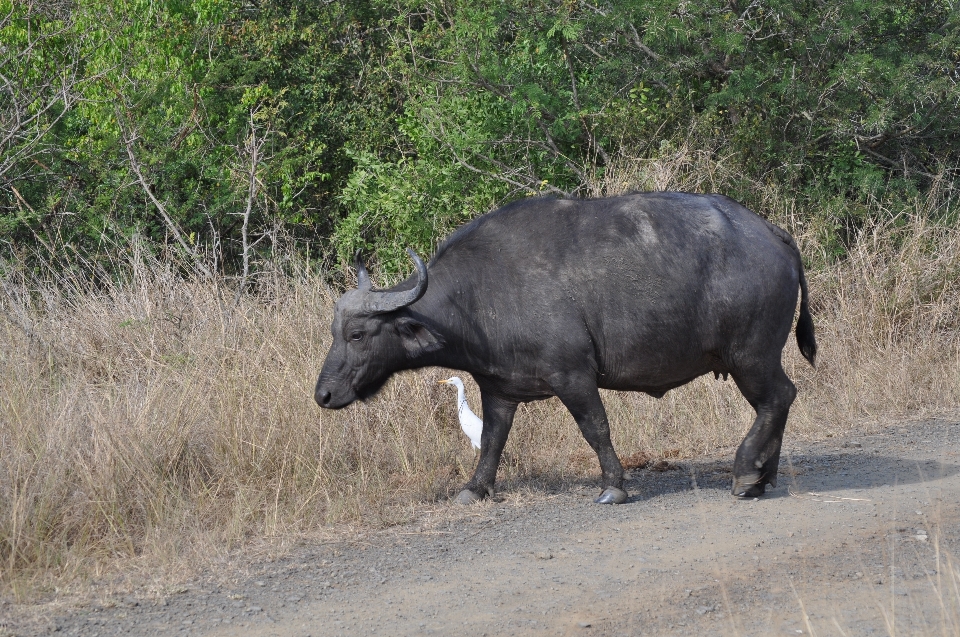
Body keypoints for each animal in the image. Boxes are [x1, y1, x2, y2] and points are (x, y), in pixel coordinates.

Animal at [316, 191, 816, 504]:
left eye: (357, 334)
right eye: (335, 332)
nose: (323, 394)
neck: (479, 294)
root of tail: (773, 233)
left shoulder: (573, 375)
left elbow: (596, 428)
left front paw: (613, 485)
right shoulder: (497, 390)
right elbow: (492, 442)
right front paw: (474, 488)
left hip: (750, 356)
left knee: (779, 397)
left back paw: (746, 473)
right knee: (777, 402)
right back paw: (764, 474)